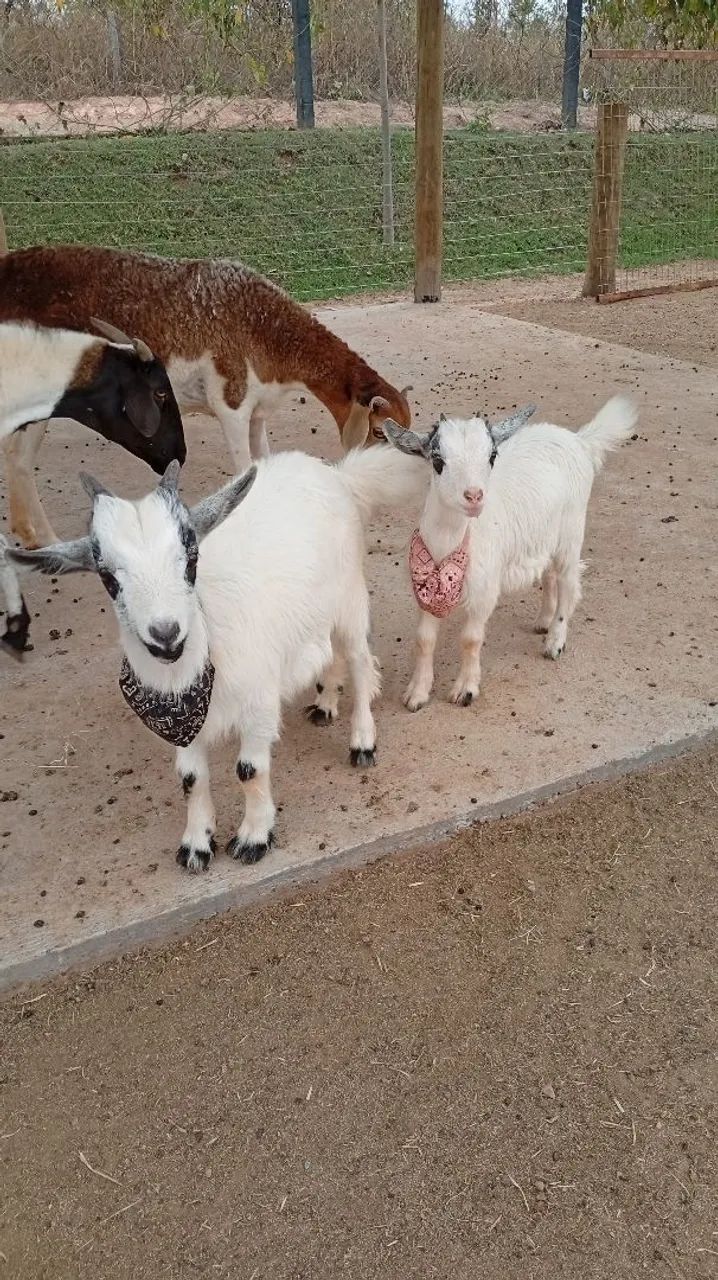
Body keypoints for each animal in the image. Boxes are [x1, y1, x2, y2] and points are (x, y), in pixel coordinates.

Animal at [0, 244, 412, 547]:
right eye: (378, 431)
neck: (265, 330)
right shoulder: (232, 406)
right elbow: (245, 467)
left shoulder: (258, 413)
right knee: (20, 461)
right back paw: (47, 538)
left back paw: (26, 532)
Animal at [11, 445, 426, 871]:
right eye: (107, 577)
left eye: (191, 559)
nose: (166, 635)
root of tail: (337, 475)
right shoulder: (181, 725)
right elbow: (190, 779)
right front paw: (196, 845)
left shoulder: (259, 704)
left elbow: (249, 771)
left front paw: (254, 838)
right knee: (328, 654)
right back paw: (325, 703)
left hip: (350, 600)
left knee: (361, 663)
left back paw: (362, 742)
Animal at [383, 396, 637, 710]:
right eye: (438, 460)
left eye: (492, 456)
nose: (474, 496)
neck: (449, 544)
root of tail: (578, 440)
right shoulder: (424, 593)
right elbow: (424, 640)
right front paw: (416, 694)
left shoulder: (484, 591)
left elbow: (470, 639)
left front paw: (465, 690)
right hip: (542, 535)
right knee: (549, 575)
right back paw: (543, 621)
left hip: (571, 532)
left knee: (568, 583)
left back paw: (555, 641)